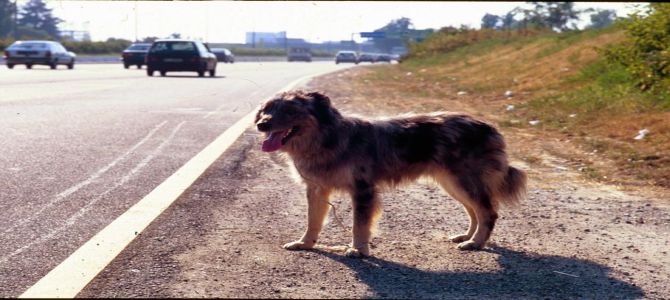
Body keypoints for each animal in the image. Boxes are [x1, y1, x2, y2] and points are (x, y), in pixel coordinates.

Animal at [255, 90, 528, 256]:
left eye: (290, 110)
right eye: (267, 109)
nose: (261, 124)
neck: (327, 138)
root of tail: (490, 127)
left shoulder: (363, 190)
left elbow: (359, 224)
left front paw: (358, 250)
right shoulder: (316, 189)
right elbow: (313, 221)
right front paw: (305, 244)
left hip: (464, 181)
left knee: (488, 212)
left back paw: (476, 243)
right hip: (453, 183)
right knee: (474, 211)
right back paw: (466, 236)